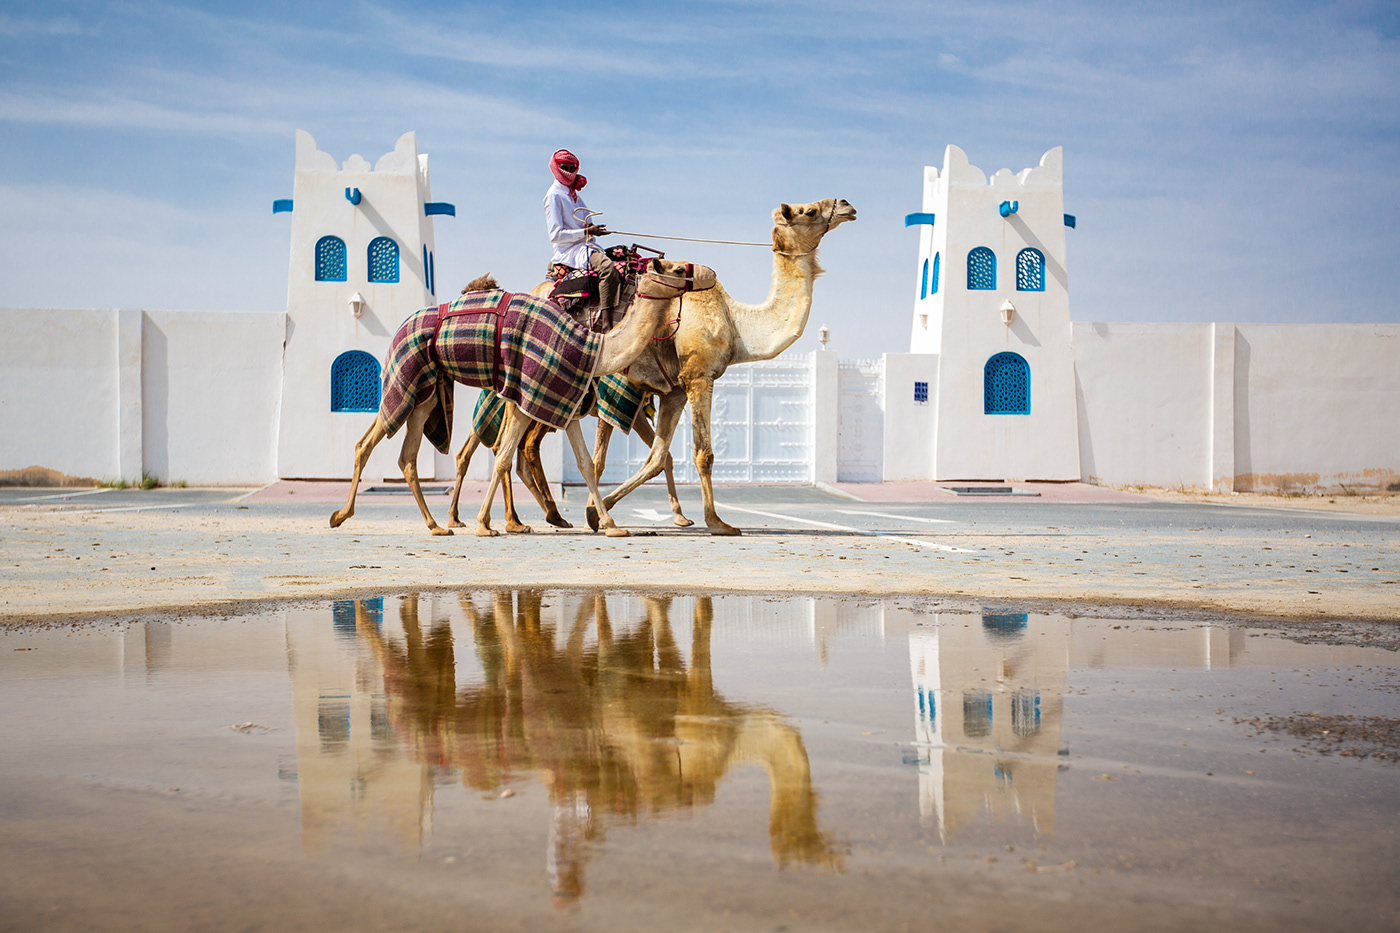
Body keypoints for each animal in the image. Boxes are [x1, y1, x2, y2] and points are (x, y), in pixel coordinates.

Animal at [588, 200, 856, 535]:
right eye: (808, 211)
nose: (846, 205)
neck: (734, 320)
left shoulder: (675, 391)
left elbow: (658, 457)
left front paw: (597, 512)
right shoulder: (699, 376)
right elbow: (704, 454)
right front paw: (718, 523)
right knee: (591, 456)